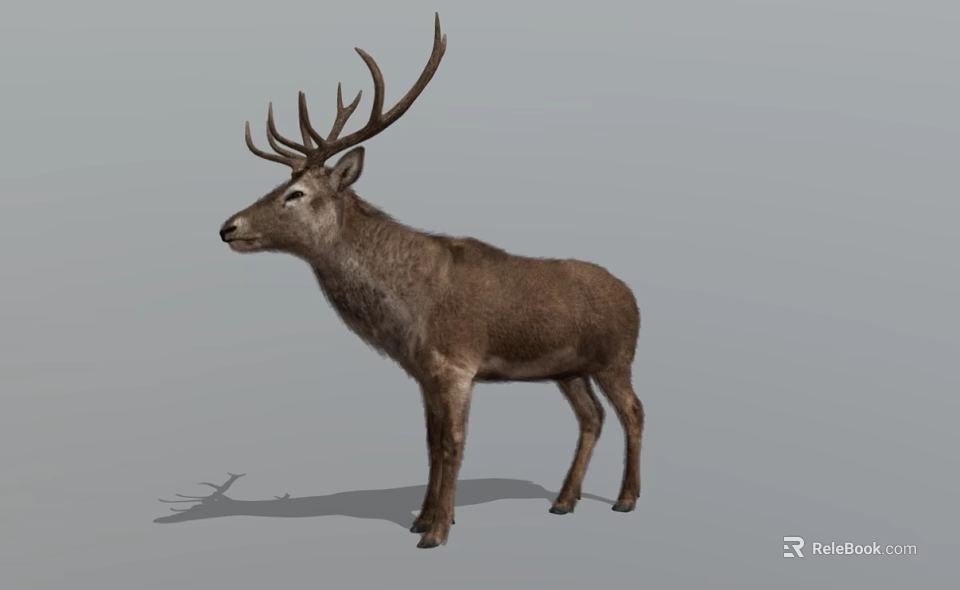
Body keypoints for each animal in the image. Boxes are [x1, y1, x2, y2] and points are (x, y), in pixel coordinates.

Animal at [218, 13, 644, 549]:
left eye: (295, 193)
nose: (228, 227)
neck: (406, 313)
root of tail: (633, 297)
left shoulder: (457, 363)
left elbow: (452, 444)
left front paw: (437, 531)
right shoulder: (423, 372)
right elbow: (430, 443)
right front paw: (422, 517)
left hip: (616, 357)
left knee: (633, 411)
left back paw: (626, 498)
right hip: (569, 369)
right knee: (593, 417)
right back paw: (564, 501)